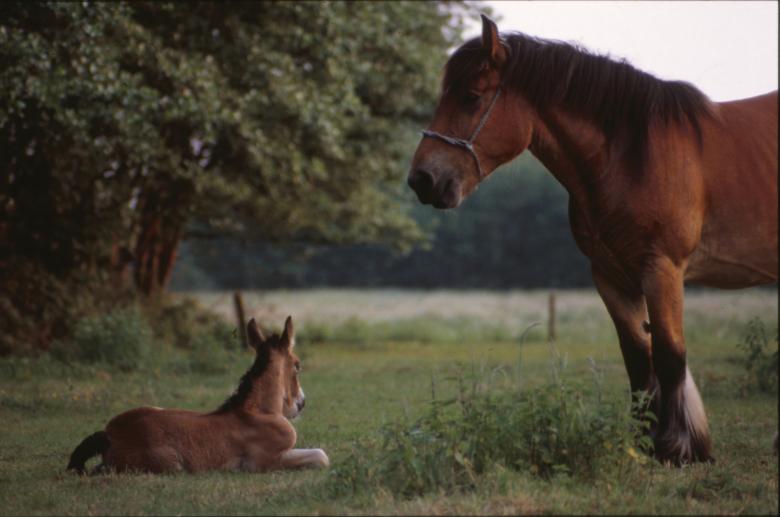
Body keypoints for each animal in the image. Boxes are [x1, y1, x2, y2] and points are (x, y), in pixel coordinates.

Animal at [67, 316, 329, 474]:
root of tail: (109, 434)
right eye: (297, 365)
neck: (258, 412)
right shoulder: (265, 462)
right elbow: (321, 455)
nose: (301, 403)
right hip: (171, 465)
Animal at [408, 14, 778, 465]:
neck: (630, 156)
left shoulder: (662, 269)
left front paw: (679, 447)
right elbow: (638, 358)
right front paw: (643, 443)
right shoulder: (611, 275)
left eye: (471, 97)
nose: (422, 179)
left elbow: (670, 354)